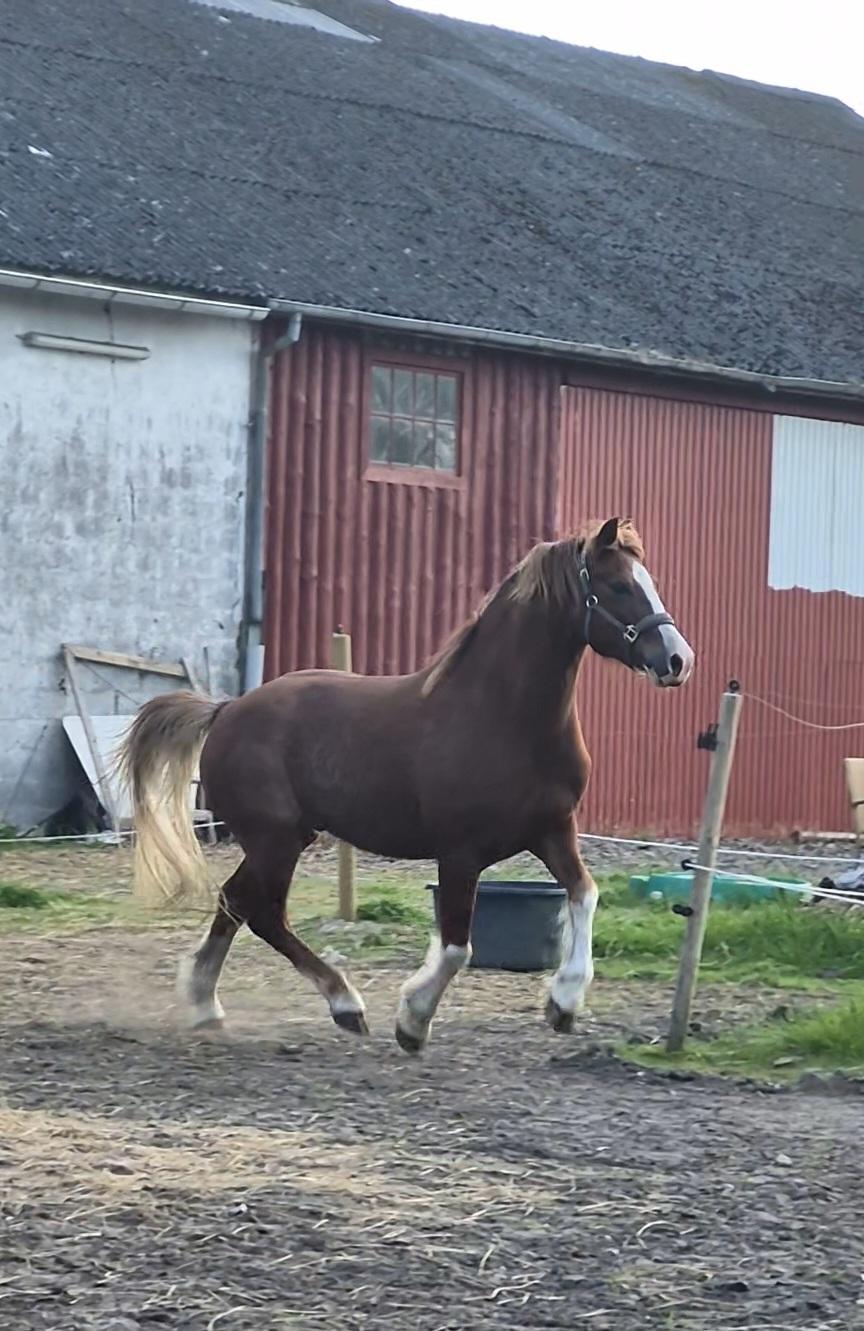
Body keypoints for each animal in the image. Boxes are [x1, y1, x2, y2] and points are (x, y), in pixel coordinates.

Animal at [119, 516, 693, 1052]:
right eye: (618, 585)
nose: (678, 660)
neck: (504, 718)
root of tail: (226, 710)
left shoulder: (553, 830)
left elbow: (584, 895)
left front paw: (564, 1002)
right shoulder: (460, 853)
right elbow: (458, 947)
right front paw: (413, 1021)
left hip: (283, 839)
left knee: (234, 902)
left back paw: (205, 1003)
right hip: (274, 841)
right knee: (265, 914)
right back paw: (344, 1005)